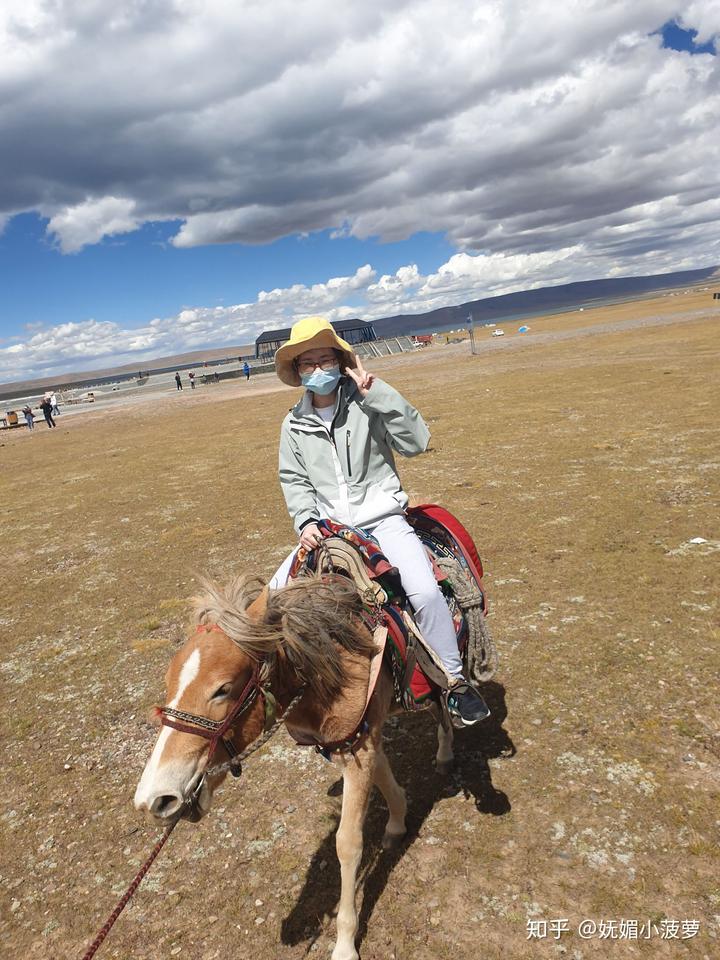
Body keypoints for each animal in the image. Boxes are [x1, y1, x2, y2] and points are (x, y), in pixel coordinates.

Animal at [134, 572, 456, 956]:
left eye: (223, 689)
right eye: (168, 684)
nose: (154, 800)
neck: (337, 665)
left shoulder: (360, 746)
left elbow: (348, 843)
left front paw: (344, 944)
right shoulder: (360, 739)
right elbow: (382, 775)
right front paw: (397, 821)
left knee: (445, 701)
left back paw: (448, 750)